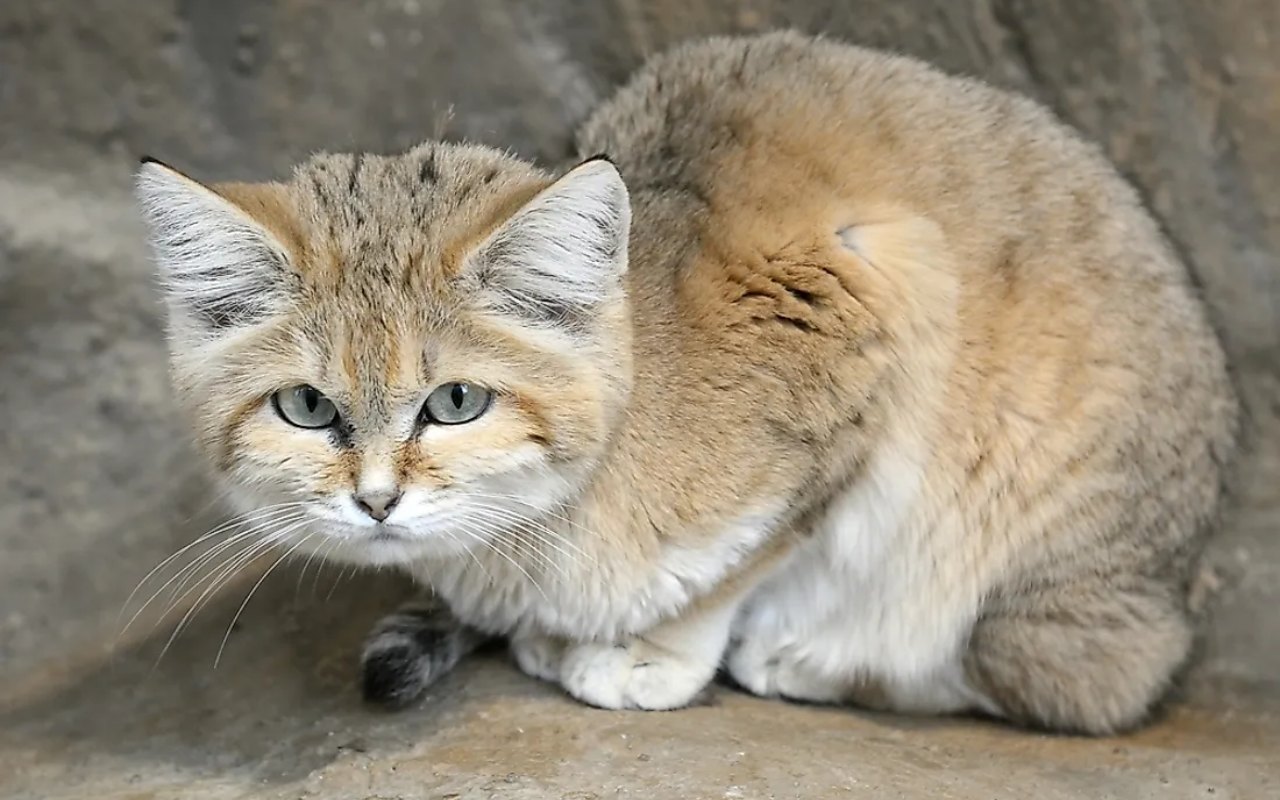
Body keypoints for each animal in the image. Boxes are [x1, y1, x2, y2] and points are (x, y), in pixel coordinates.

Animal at [135, 31, 1233, 732]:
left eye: (454, 403)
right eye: (306, 407)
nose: (374, 502)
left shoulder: (874, 318)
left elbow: (737, 567)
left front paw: (654, 651)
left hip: (1038, 594)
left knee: (1062, 681)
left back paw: (820, 659)